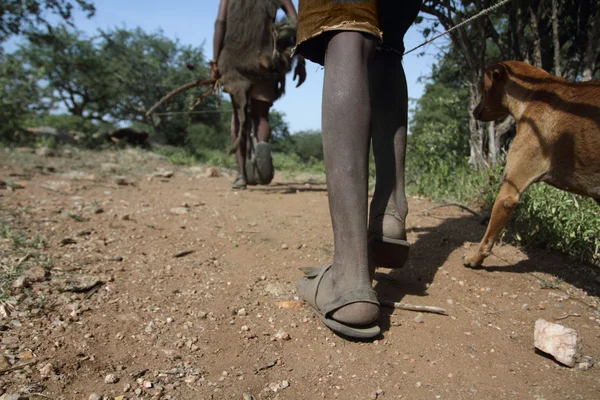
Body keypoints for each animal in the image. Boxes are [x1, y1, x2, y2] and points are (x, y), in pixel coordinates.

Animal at [464, 61, 600, 268]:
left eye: (485, 89)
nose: (474, 111)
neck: (532, 95)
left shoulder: (509, 192)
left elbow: (489, 236)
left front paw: (476, 258)